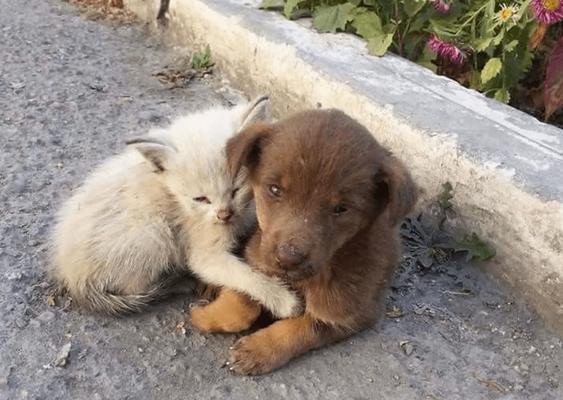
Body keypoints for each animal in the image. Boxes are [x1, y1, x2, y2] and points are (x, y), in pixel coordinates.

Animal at [50, 95, 302, 318]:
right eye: (201, 199)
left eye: (236, 190)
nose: (224, 214)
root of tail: (73, 276)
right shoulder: (204, 252)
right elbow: (243, 275)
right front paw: (283, 299)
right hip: (154, 233)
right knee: (133, 286)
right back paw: (174, 283)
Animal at [196, 109, 416, 376]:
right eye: (274, 189)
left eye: (342, 209)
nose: (287, 258)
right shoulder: (257, 254)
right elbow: (243, 299)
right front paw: (205, 315)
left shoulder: (352, 312)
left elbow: (302, 328)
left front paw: (258, 351)